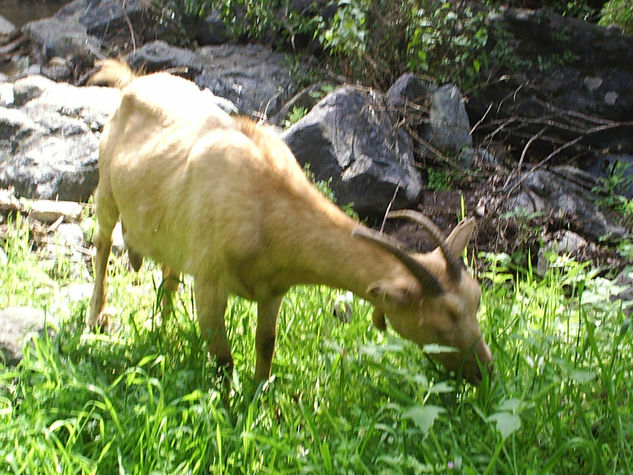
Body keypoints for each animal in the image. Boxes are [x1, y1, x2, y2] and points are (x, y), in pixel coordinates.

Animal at [86, 59, 492, 386]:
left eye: (477, 300)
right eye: (442, 319)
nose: (485, 372)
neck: (266, 205)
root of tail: (133, 81)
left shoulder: (273, 291)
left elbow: (266, 347)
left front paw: (260, 402)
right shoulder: (209, 283)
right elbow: (223, 361)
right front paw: (230, 413)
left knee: (168, 272)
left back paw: (165, 328)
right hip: (106, 188)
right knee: (102, 246)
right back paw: (95, 319)